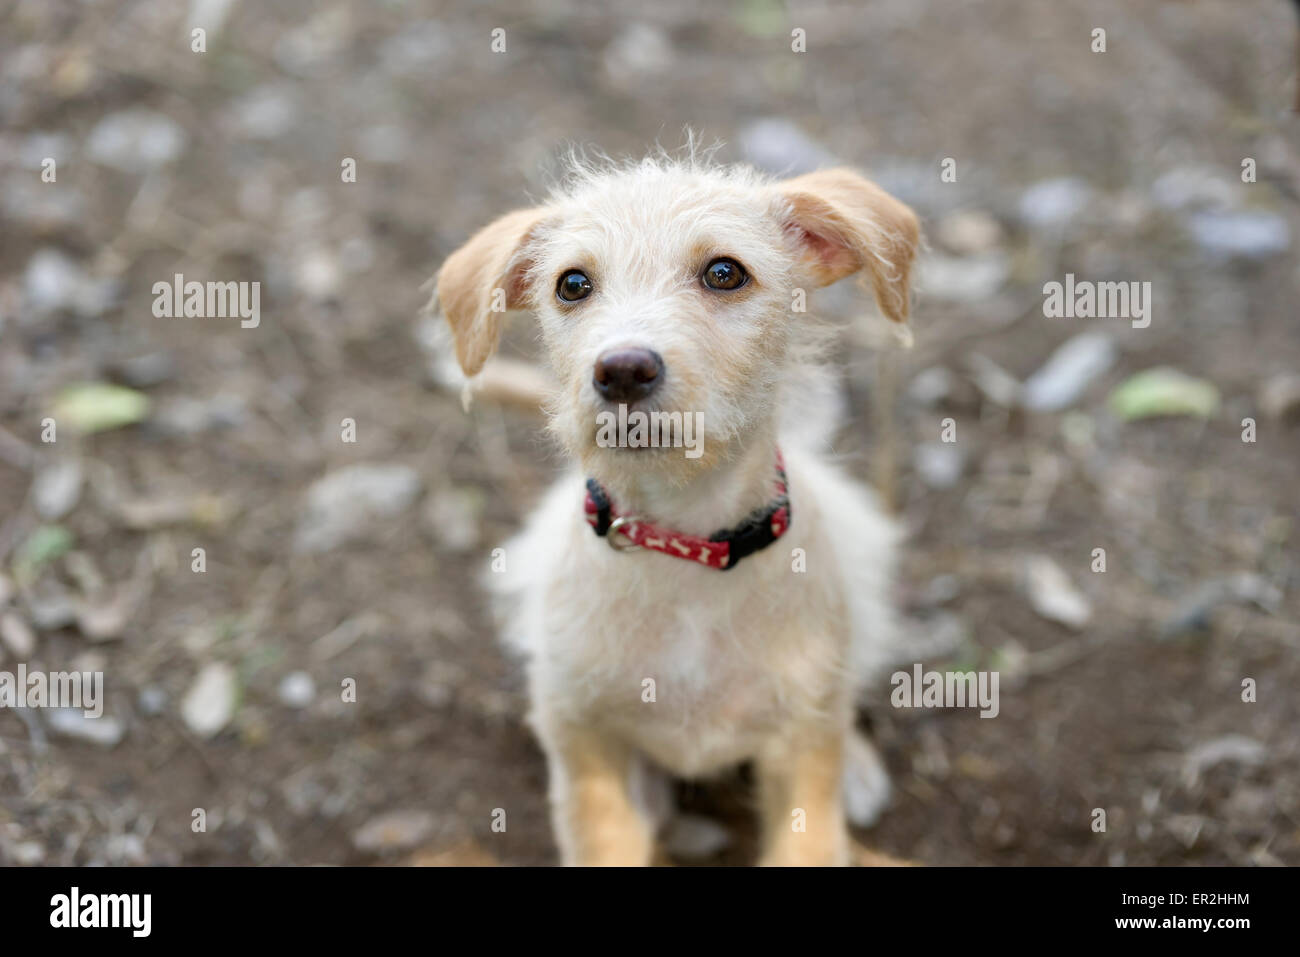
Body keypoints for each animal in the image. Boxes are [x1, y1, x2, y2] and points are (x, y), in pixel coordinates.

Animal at [431, 149, 920, 868]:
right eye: (572, 284)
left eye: (724, 273)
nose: (622, 371)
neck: (684, 544)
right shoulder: (588, 747)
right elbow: (605, 840)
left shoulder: (799, 757)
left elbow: (806, 832)